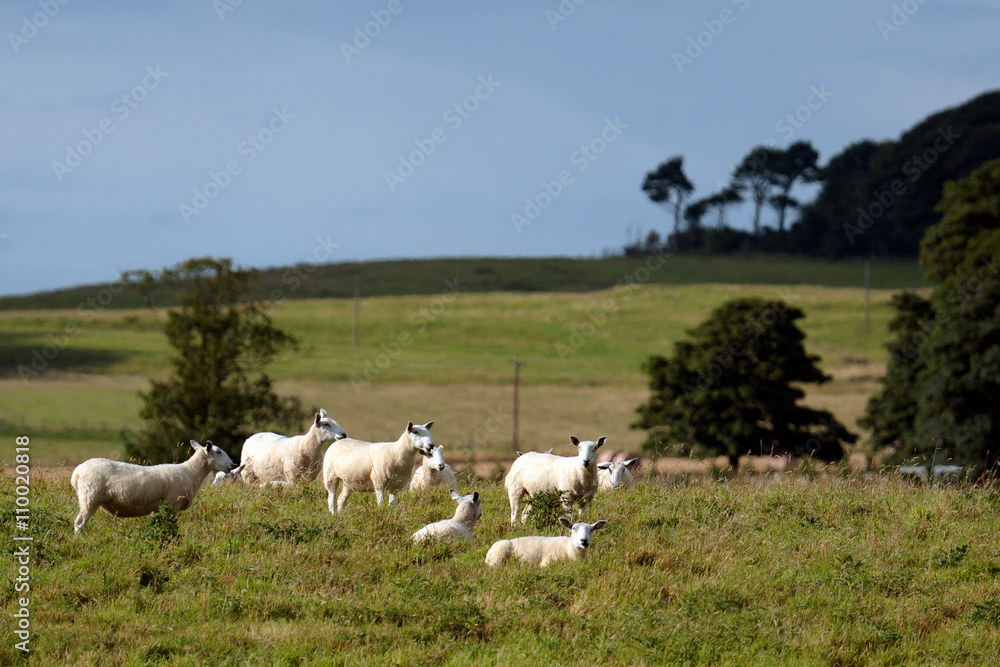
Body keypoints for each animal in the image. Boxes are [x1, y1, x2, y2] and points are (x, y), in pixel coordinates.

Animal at [71, 440, 235, 534]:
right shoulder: (173, 504)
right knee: (79, 523)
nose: (232, 465)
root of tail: (77, 472)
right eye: (218, 452)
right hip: (90, 498)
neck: (191, 472)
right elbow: (170, 526)